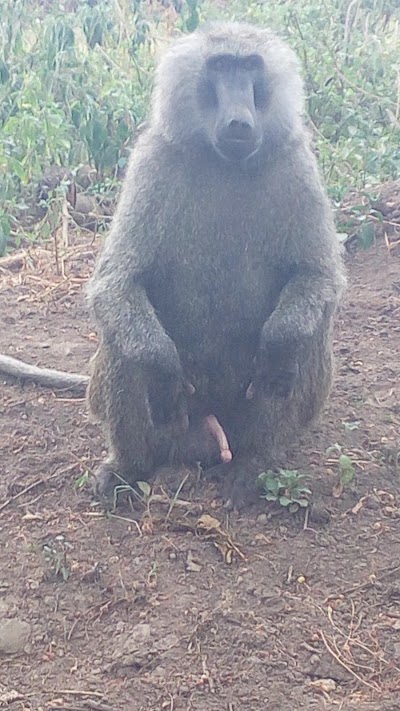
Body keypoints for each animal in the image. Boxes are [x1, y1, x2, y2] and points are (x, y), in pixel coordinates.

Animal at [92, 22, 346, 506]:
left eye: (250, 66)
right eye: (221, 66)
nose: (239, 121)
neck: (225, 163)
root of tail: (208, 438)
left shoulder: (297, 164)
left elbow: (318, 276)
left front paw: (278, 347)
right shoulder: (153, 162)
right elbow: (116, 284)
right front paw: (162, 371)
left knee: (304, 340)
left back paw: (254, 465)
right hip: (176, 430)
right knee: (123, 343)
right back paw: (129, 469)